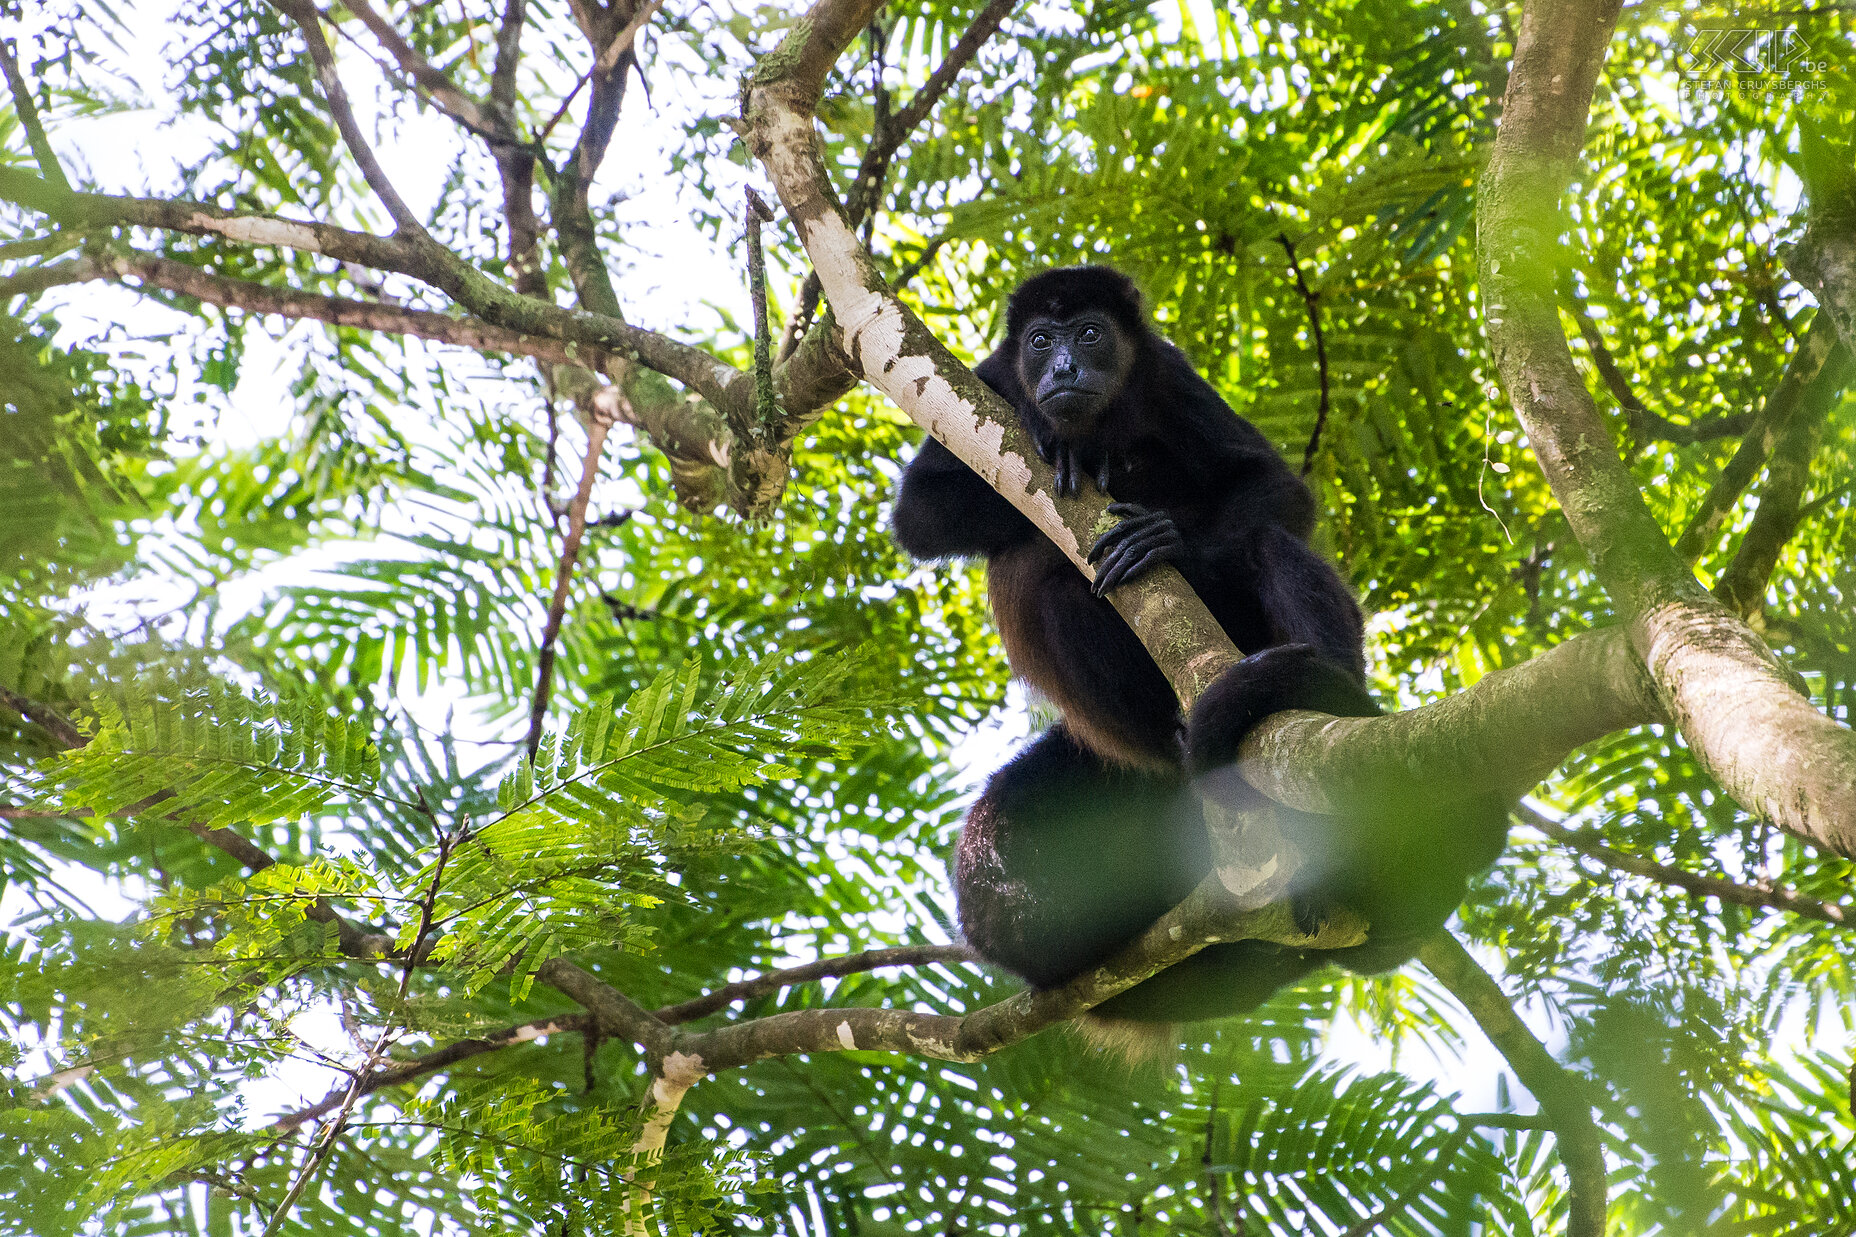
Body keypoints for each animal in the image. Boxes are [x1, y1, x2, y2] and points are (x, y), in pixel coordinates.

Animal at [890, 267, 1514, 1032]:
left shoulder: (1171, 376)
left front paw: (1170, 538)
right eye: (1040, 342)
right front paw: (1057, 442)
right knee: (1061, 595)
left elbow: (1273, 486)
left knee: (1267, 544)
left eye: (1090, 334)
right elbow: (921, 511)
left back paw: (1331, 699)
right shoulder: (990, 382)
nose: (1064, 369)